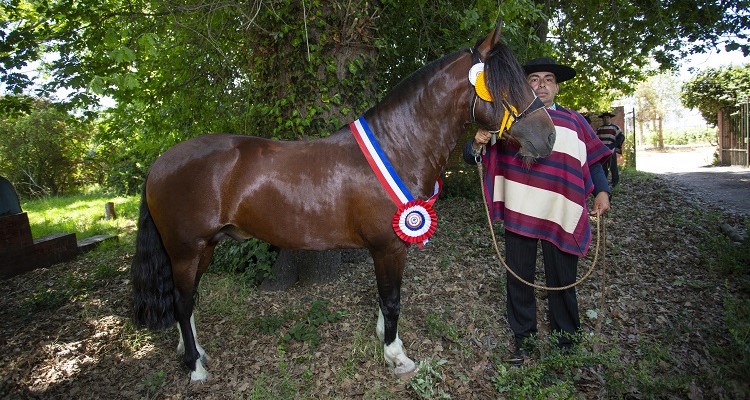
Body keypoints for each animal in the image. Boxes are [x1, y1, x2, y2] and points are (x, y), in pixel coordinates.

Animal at [131, 21, 560, 382]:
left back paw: (195, 353)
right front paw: (396, 355)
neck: (398, 145)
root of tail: (159, 163)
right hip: (187, 250)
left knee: (187, 303)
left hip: (203, 248)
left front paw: (385, 339)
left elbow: (387, 298)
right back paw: (196, 369)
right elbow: (392, 299)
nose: (549, 137)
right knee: (182, 303)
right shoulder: (388, 245)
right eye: (505, 86)